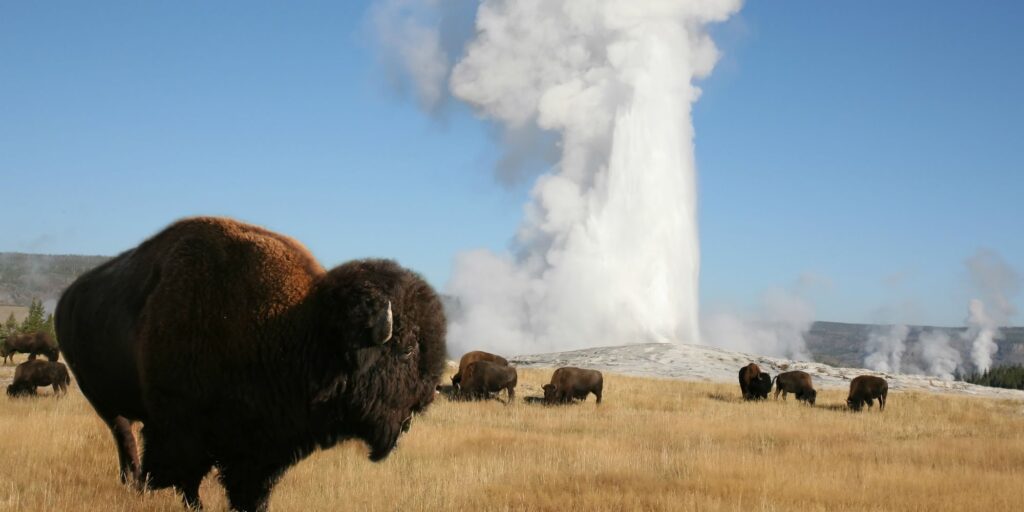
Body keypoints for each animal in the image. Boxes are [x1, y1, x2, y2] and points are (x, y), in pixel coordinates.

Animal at [56, 217, 447, 512]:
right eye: (408, 348)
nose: (426, 398)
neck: (302, 327)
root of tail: (66, 300)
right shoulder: (182, 429)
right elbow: (187, 477)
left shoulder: (261, 445)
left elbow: (248, 487)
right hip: (103, 401)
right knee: (123, 435)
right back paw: (134, 482)